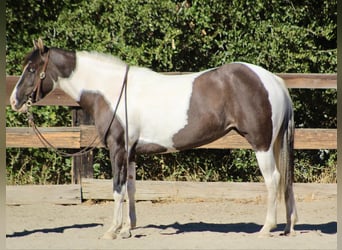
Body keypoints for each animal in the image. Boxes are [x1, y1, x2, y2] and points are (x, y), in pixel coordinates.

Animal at [8, 38, 296, 238]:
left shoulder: (117, 149)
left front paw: (112, 231)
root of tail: (273, 80)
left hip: (261, 145)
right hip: (273, 144)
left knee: (273, 180)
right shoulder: (131, 153)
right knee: (285, 181)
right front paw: (128, 229)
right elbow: (131, 188)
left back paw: (266, 228)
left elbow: (117, 188)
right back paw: (287, 226)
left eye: (32, 69)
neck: (111, 92)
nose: (14, 101)